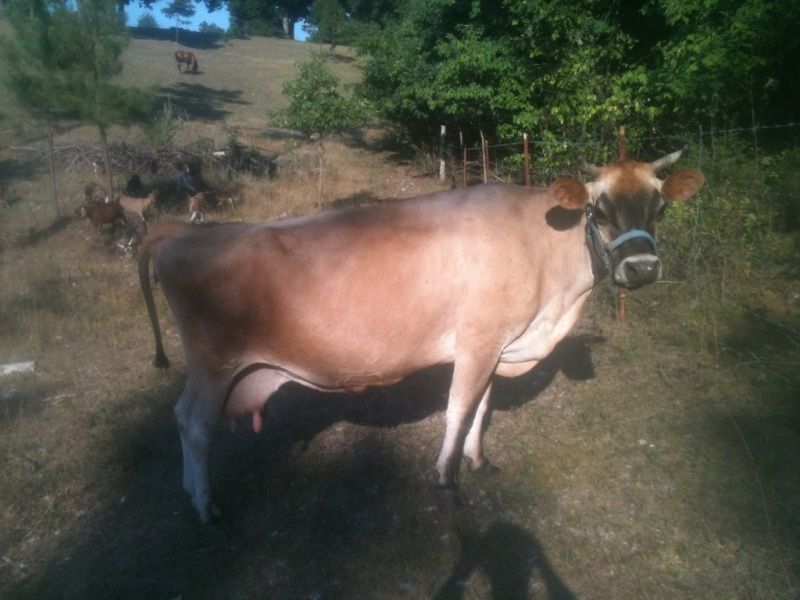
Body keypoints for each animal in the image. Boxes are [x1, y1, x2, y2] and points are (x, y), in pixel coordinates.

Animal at [139, 149, 704, 523]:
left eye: (659, 207)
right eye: (600, 210)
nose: (642, 267)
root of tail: (181, 232)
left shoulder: (498, 342)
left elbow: (483, 406)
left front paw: (478, 461)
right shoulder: (478, 339)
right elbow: (458, 409)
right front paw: (446, 482)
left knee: (182, 417)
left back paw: (191, 491)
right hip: (213, 362)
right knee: (194, 423)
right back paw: (206, 504)